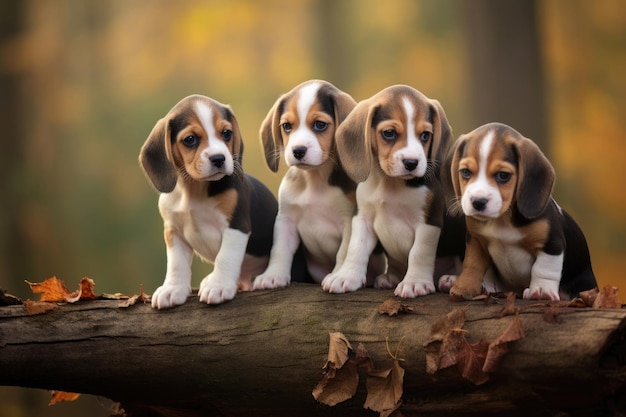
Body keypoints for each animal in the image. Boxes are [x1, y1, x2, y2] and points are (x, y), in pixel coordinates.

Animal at [141, 95, 278, 308]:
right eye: (190, 139)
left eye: (227, 133)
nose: (219, 158)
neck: (194, 190)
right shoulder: (174, 232)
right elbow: (176, 264)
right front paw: (172, 289)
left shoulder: (236, 225)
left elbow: (225, 257)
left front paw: (219, 286)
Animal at [252, 79, 380, 288]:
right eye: (287, 126)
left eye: (320, 125)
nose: (298, 151)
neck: (314, 180)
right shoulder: (286, 220)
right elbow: (279, 250)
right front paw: (273, 275)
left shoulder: (348, 222)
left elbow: (343, 253)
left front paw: (337, 276)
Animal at [320, 84, 456, 298]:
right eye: (389, 133)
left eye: (425, 135)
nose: (411, 163)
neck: (389, 183)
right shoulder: (362, 218)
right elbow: (356, 249)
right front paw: (346, 276)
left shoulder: (429, 221)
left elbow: (419, 253)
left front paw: (414, 282)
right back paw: (391, 276)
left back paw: (452, 279)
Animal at [446, 121, 596, 300]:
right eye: (465, 172)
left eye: (503, 175)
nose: (478, 202)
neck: (502, 219)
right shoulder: (475, 239)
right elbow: (472, 264)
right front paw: (465, 286)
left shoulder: (551, 243)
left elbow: (543, 269)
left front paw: (541, 291)